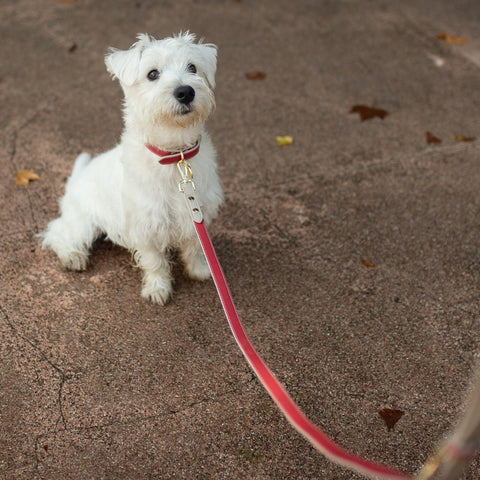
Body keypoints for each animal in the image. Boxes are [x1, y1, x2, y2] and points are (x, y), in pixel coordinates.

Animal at [40, 32, 224, 304]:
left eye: (192, 67)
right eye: (152, 74)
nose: (185, 92)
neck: (175, 155)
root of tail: (78, 176)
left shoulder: (195, 214)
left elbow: (193, 247)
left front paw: (200, 269)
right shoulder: (144, 226)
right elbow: (155, 261)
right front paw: (157, 289)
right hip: (83, 222)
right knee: (58, 232)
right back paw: (73, 256)